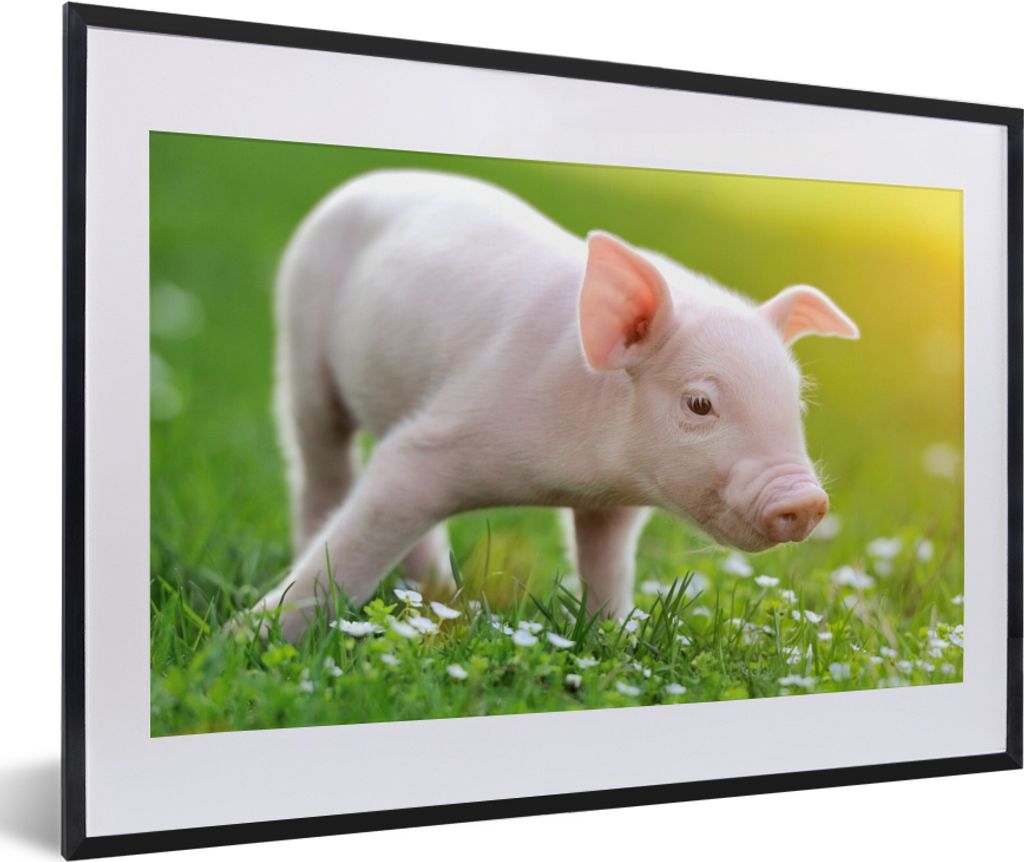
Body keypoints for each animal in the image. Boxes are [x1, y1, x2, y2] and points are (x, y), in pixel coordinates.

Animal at [247, 169, 858, 641]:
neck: (571, 479)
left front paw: (612, 637)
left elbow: (606, 564)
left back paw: (442, 597)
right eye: (701, 403)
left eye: (796, 403)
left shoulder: (613, 507)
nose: (806, 499)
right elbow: (361, 532)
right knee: (320, 464)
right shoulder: (441, 435)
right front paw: (248, 642)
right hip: (299, 343)